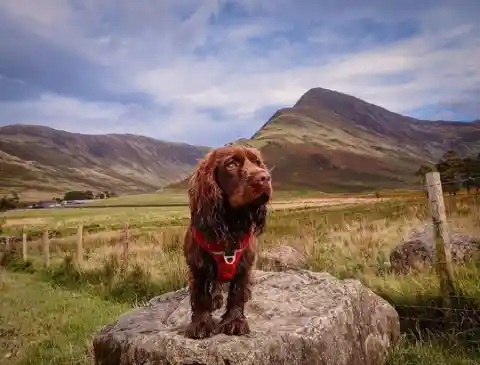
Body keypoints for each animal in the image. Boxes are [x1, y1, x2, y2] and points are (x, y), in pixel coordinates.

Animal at [184, 144, 272, 336]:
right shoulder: (198, 266)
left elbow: (237, 293)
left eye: (258, 162)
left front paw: (234, 321)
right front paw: (201, 323)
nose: (265, 177)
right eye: (231, 164)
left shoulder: (244, 264)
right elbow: (200, 295)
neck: (231, 224)